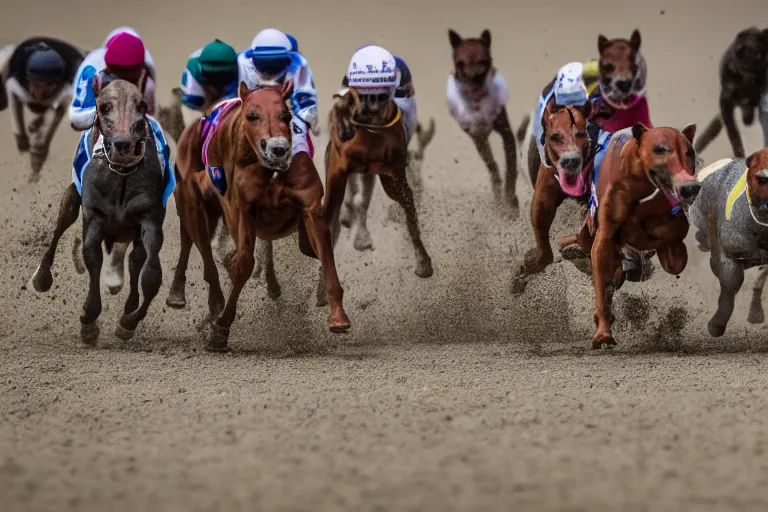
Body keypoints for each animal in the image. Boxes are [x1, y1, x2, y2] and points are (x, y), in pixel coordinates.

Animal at [448, 30, 520, 214]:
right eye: (460, 63)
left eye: (483, 61)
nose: (474, 77)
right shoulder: (478, 138)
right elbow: (493, 167)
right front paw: (502, 201)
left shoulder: (506, 132)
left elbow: (511, 167)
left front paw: (510, 200)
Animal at [576, 123, 704, 348]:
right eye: (660, 149)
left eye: (690, 152)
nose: (690, 187)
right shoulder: (604, 237)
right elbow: (601, 276)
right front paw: (603, 333)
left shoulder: (674, 231)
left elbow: (670, 245)